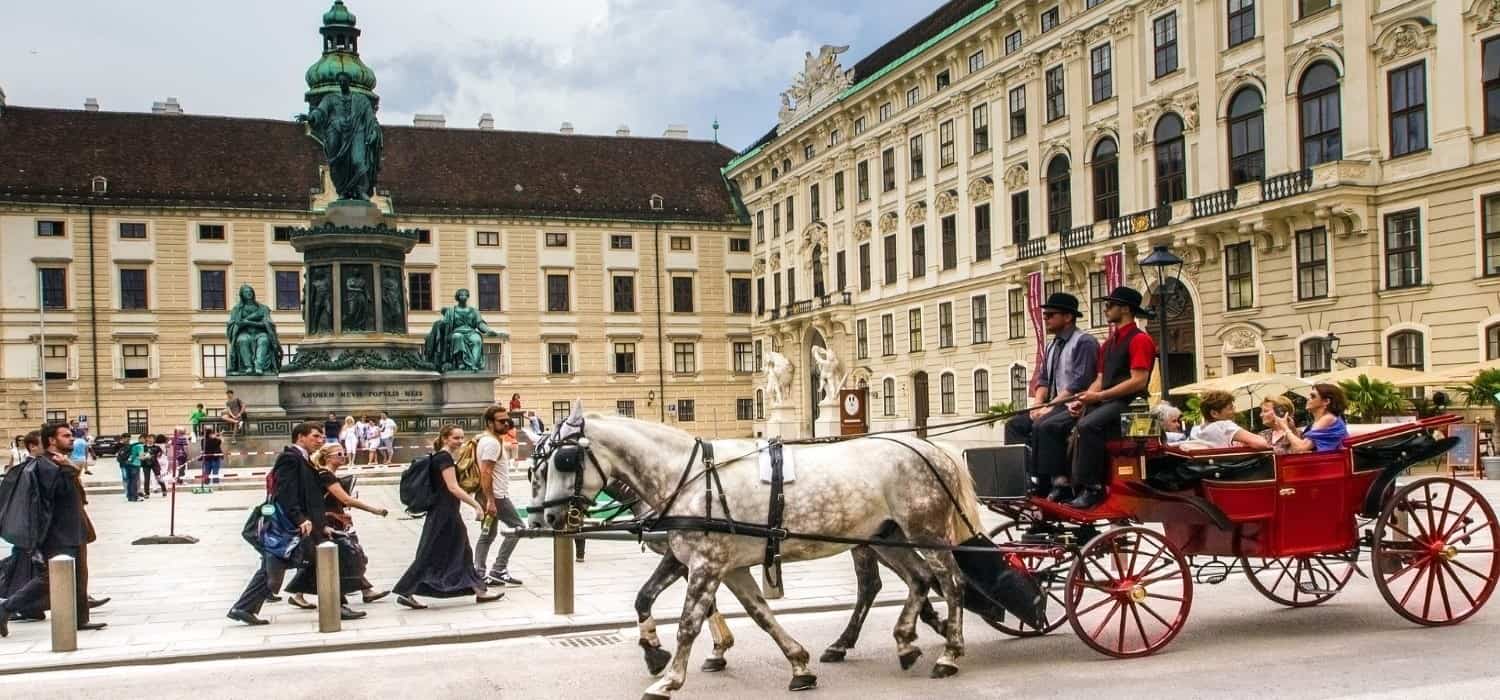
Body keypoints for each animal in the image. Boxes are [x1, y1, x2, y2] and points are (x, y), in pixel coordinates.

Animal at [543, 401, 984, 698]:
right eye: (539, 466)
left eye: (564, 460)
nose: (547, 517)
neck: (689, 477)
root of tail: (931, 448)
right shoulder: (722, 564)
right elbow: (758, 614)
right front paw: (798, 664)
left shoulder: (707, 563)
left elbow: (689, 622)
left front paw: (669, 679)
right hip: (886, 537)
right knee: (918, 579)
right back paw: (905, 641)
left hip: (925, 531)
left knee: (950, 582)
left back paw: (949, 652)